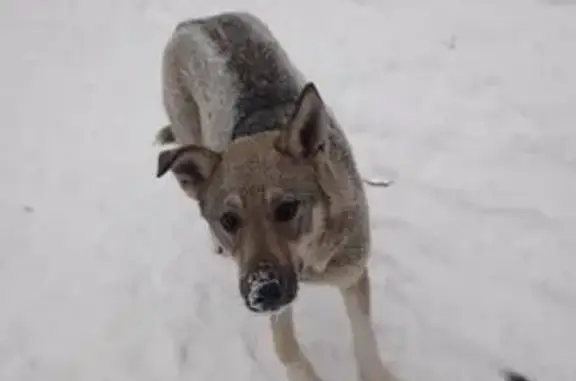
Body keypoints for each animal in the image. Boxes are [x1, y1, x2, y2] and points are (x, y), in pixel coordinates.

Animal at [153, 11, 396, 380]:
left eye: (287, 209)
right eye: (229, 220)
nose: (262, 292)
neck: (311, 260)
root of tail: (194, 20)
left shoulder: (352, 274)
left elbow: (364, 339)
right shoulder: (277, 303)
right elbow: (287, 349)